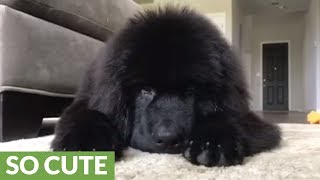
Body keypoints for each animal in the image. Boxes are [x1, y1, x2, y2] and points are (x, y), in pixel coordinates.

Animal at [52, 7, 280, 167]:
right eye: (145, 90)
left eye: (191, 90)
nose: (169, 138)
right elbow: (84, 114)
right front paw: (86, 143)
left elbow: (225, 115)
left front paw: (213, 141)